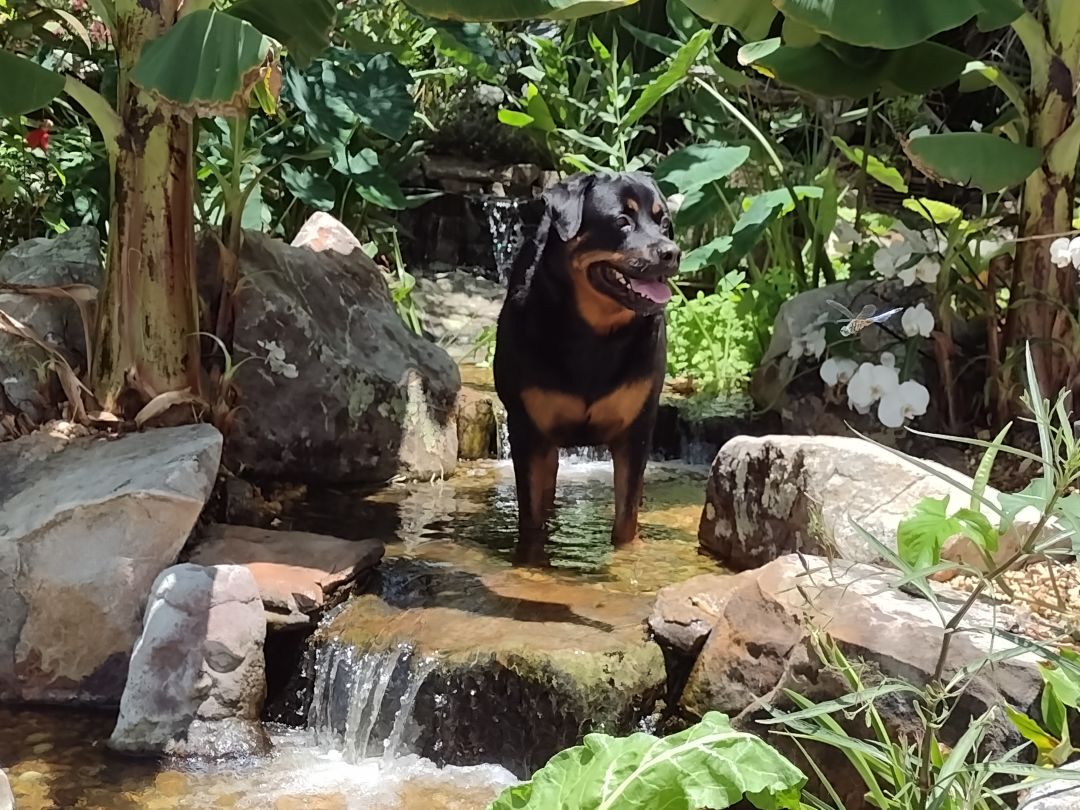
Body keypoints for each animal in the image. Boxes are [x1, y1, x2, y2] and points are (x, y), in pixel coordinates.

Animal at [494, 171, 678, 565]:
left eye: (664, 223)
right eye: (622, 221)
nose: (671, 252)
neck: (595, 336)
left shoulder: (636, 430)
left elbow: (626, 515)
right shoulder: (526, 428)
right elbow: (531, 515)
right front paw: (531, 561)